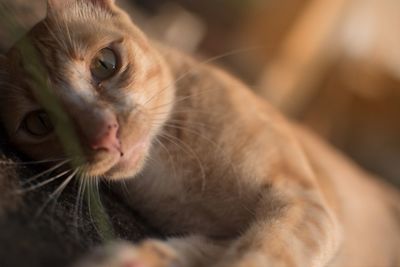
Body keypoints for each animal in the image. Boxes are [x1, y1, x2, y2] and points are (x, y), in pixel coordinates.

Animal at [0, 0, 400, 267]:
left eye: (105, 63)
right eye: (40, 122)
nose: (104, 135)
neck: (167, 173)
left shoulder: (303, 204)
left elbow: (258, 254)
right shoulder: (228, 234)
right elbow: (199, 251)